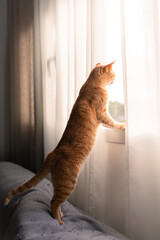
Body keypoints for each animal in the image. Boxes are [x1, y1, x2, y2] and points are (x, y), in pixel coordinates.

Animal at [4, 62, 125, 225]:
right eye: (113, 74)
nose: (115, 79)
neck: (91, 84)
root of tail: (51, 155)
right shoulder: (102, 113)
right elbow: (112, 122)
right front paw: (123, 125)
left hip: (60, 183)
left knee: (56, 201)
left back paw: (61, 216)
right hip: (68, 183)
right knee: (53, 202)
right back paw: (59, 222)